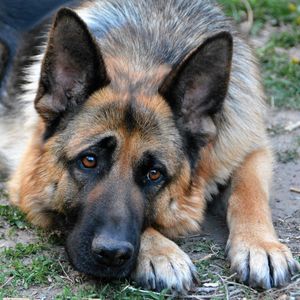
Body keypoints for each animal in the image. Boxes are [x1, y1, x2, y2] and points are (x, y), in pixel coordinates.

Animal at [0, 0, 298, 292]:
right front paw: (163, 253)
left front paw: (260, 245)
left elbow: (249, 192)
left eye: (154, 173)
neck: (145, 54)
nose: (111, 254)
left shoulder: (249, 147)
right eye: (89, 160)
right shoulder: (25, 181)